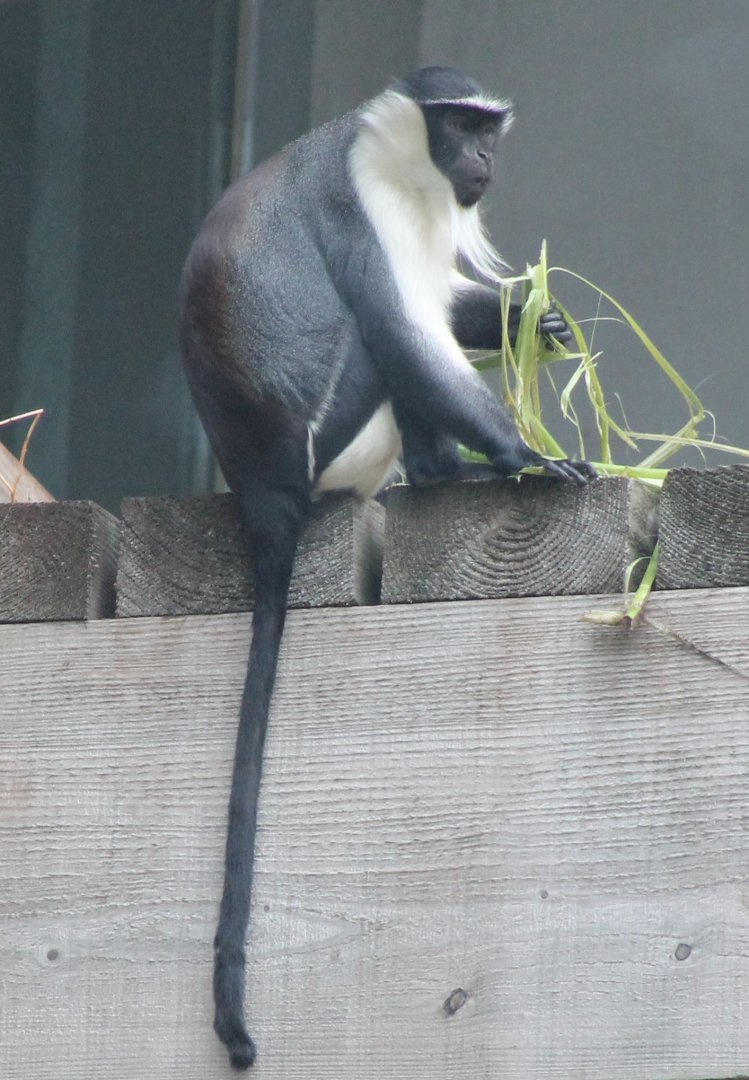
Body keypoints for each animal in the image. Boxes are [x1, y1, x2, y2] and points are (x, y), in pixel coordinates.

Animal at [179, 65, 594, 1070]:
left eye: (488, 130)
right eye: (459, 125)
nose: (480, 158)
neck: (398, 156)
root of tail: (264, 497)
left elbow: (449, 303)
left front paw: (535, 315)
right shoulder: (360, 202)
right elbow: (406, 331)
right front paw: (526, 458)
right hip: (335, 433)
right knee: (381, 345)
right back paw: (450, 471)